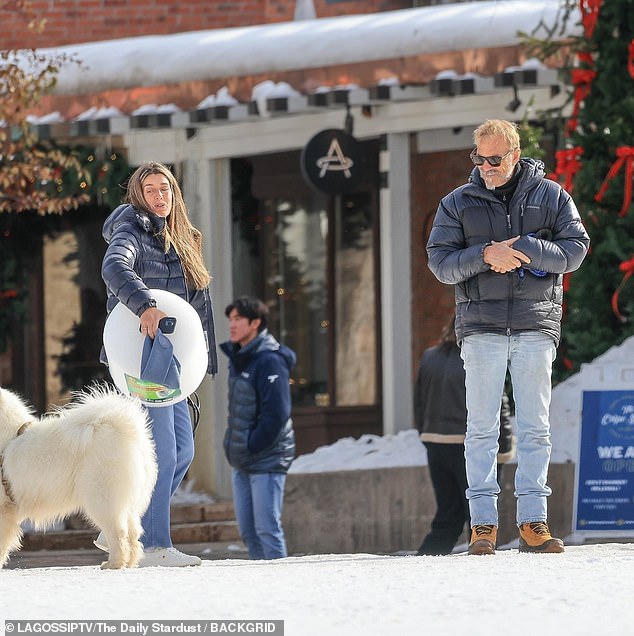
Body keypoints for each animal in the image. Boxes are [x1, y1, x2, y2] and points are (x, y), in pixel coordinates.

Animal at [0, 386, 157, 568]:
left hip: (101, 499)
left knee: (118, 532)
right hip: (126, 502)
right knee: (133, 533)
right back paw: (129, 563)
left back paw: (113, 564)